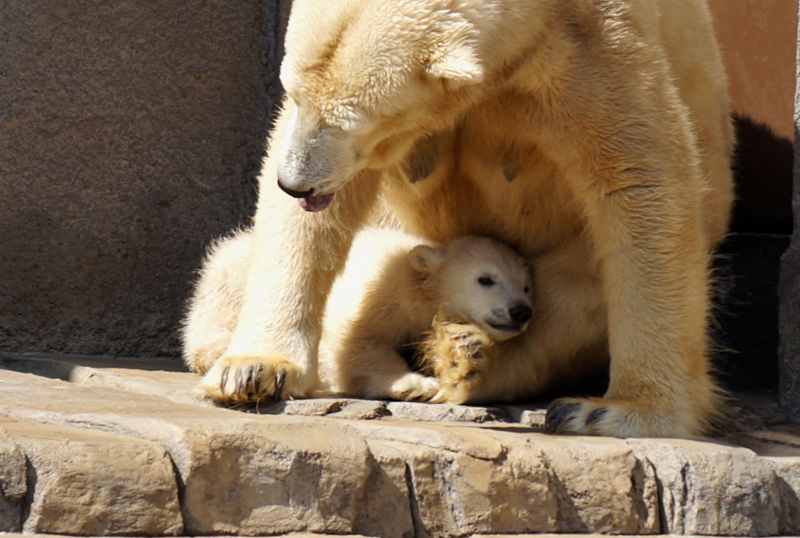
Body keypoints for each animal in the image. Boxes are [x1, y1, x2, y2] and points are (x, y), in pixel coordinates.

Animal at [194, 0, 732, 438]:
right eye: (292, 92)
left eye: (350, 120)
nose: (295, 184)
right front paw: (254, 369)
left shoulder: (589, 51)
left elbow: (639, 182)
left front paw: (619, 411)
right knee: (230, 261)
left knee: (569, 308)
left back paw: (466, 359)